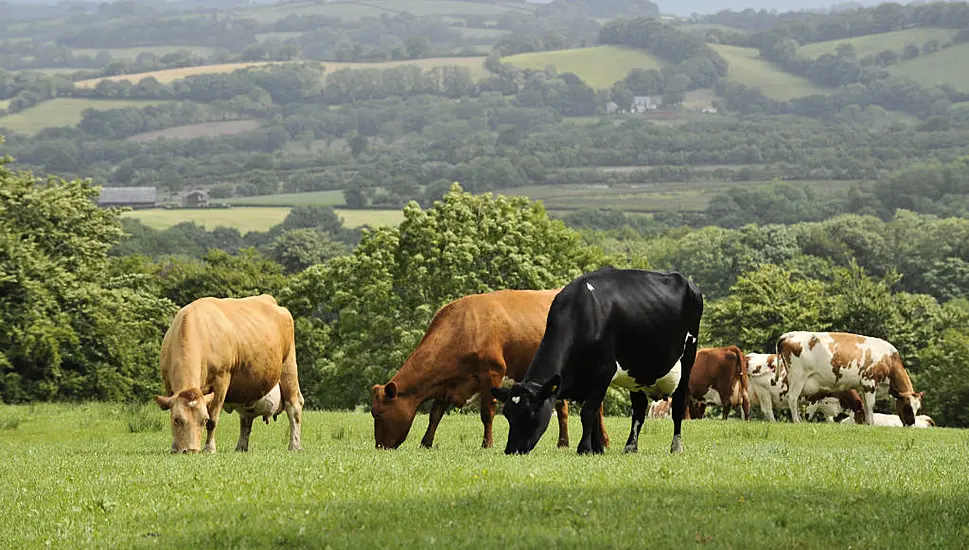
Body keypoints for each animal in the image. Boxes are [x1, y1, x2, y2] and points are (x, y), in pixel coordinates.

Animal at [155, 298, 302, 458]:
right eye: (176, 420)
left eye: (204, 420)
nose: (192, 451)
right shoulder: (168, 383)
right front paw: (174, 446)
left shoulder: (221, 379)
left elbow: (213, 419)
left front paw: (210, 448)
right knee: (246, 418)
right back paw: (241, 447)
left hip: (288, 367)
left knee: (294, 406)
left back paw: (294, 446)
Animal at [368, 292, 604, 450]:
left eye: (378, 414)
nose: (380, 447)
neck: (462, 328)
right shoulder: (448, 383)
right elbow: (435, 414)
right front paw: (426, 443)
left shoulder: (492, 373)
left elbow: (487, 412)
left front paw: (487, 444)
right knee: (563, 408)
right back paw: (564, 443)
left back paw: (603, 442)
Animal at [492, 268, 704, 458]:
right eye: (508, 414)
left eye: (531, 414)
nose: (511, 450)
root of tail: (687, 282)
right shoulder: (587, 380)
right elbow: (593, 414)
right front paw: (597, 449)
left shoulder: (603, 371)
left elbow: (588, 412)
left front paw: (584, 449)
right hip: (637, 374)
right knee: (639, 409)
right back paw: (630, 447)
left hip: (687, 359)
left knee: (678, 405)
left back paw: (676, 447)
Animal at [772, 332, 924, 426]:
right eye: (907, 406)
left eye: (918, 408)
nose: (911, 424)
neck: (888, 359)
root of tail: (789, 334)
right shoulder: (869, 382)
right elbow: (871, 405)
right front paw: (872, 424)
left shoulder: (863, 386)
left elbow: (866, 407)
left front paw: (867, 423)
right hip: (799, 376)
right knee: (793, 398)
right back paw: (797, 421)